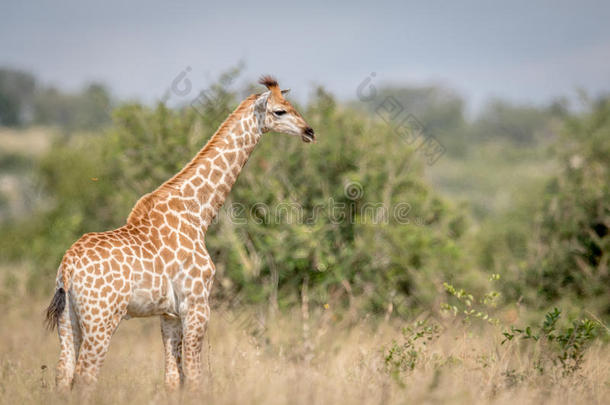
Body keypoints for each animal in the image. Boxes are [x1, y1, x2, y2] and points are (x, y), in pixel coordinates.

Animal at [44, 74, 314, 390]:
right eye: (280, 111)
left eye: (292, 105)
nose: (309, 131)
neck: (197, 213)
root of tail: (68, 268)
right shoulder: (197, 305)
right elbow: (195, 377)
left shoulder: (169, 314)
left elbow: (173, 379)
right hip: (102, 317)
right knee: (86, 375)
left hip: (69, 320)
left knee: (63, 373)